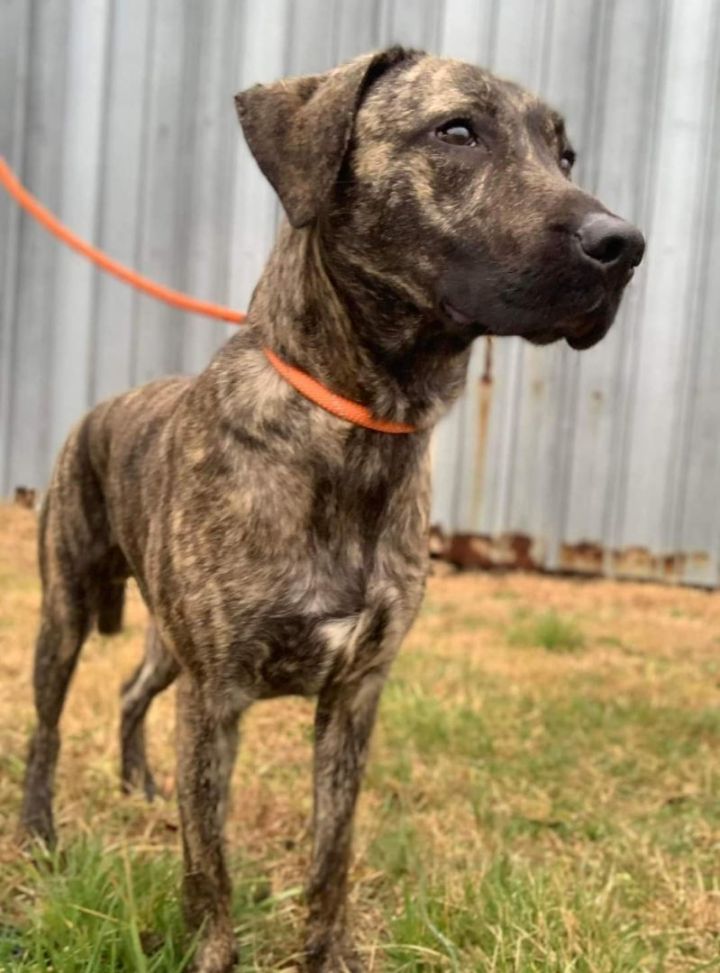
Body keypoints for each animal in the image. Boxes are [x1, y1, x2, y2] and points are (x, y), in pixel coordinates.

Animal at [19, 45, 644, 972]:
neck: (359, 427)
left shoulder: (354, 696)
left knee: (133, 689)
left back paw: (138, 783)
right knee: (48, 726)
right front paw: (212, 951)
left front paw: (328, 952)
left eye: (565, 155)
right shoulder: (215, 701)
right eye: (457, 131)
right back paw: (38, 831)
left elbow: (332, 853)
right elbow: (209, 869)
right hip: (66, 610)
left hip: (169, 643)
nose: (625, 244)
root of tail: (98, 409)